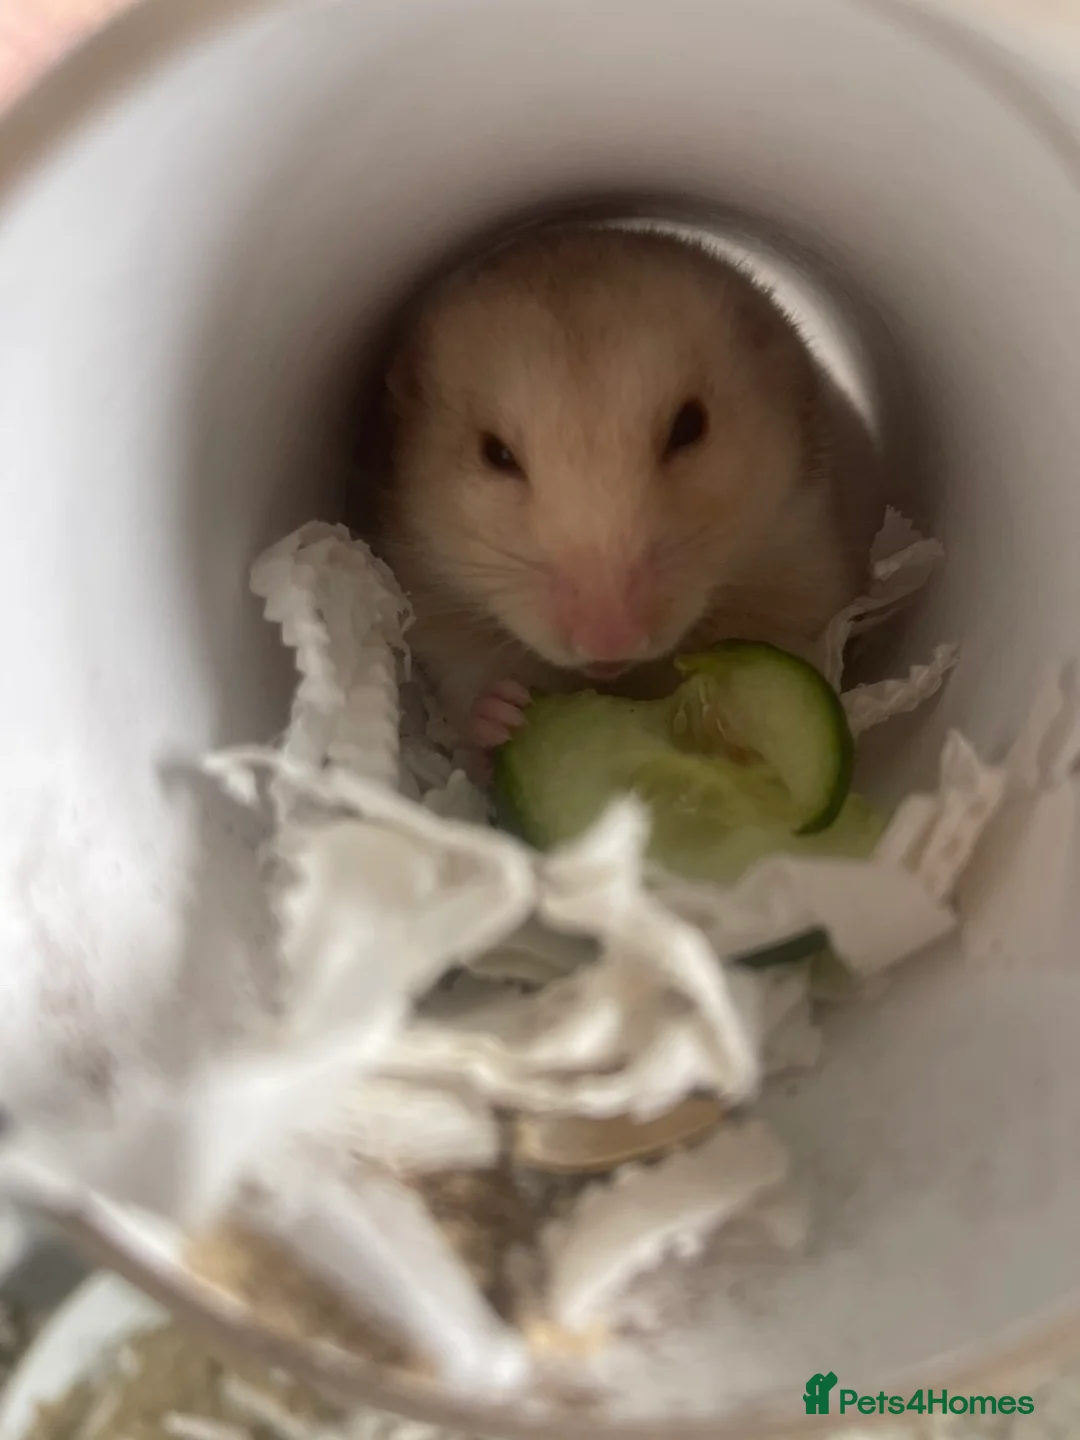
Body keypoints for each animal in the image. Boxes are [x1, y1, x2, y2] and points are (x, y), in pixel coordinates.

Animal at [375, 226, 882, 750]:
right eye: (495, 454)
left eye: (689, 427)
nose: (608, 642)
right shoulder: (435, 608)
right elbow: (466, 680)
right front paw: (505, 711)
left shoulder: (803, 562)